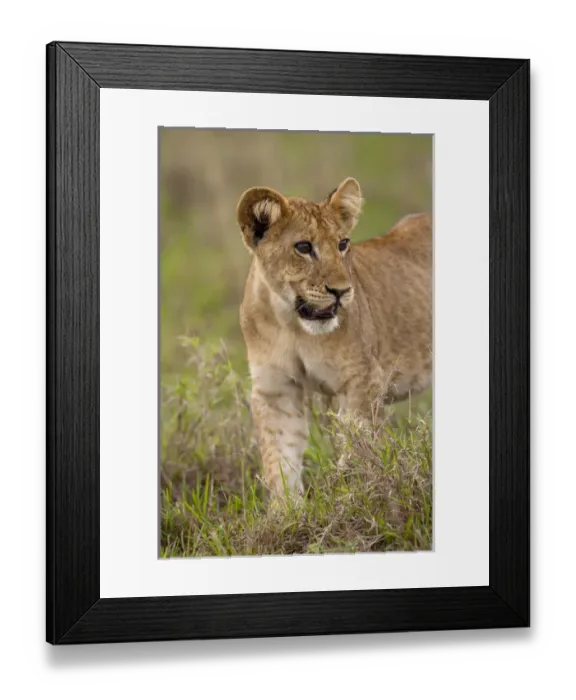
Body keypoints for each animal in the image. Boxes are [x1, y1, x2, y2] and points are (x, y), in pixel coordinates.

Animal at [236, 177, 432, 499]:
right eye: (303, 247)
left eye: (343, 244)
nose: (341, 291)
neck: (291, 324)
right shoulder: (275, 389)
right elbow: (280, 462)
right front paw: (288, 511)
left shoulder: (363, 381)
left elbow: (356, 450)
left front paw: (340, 495)